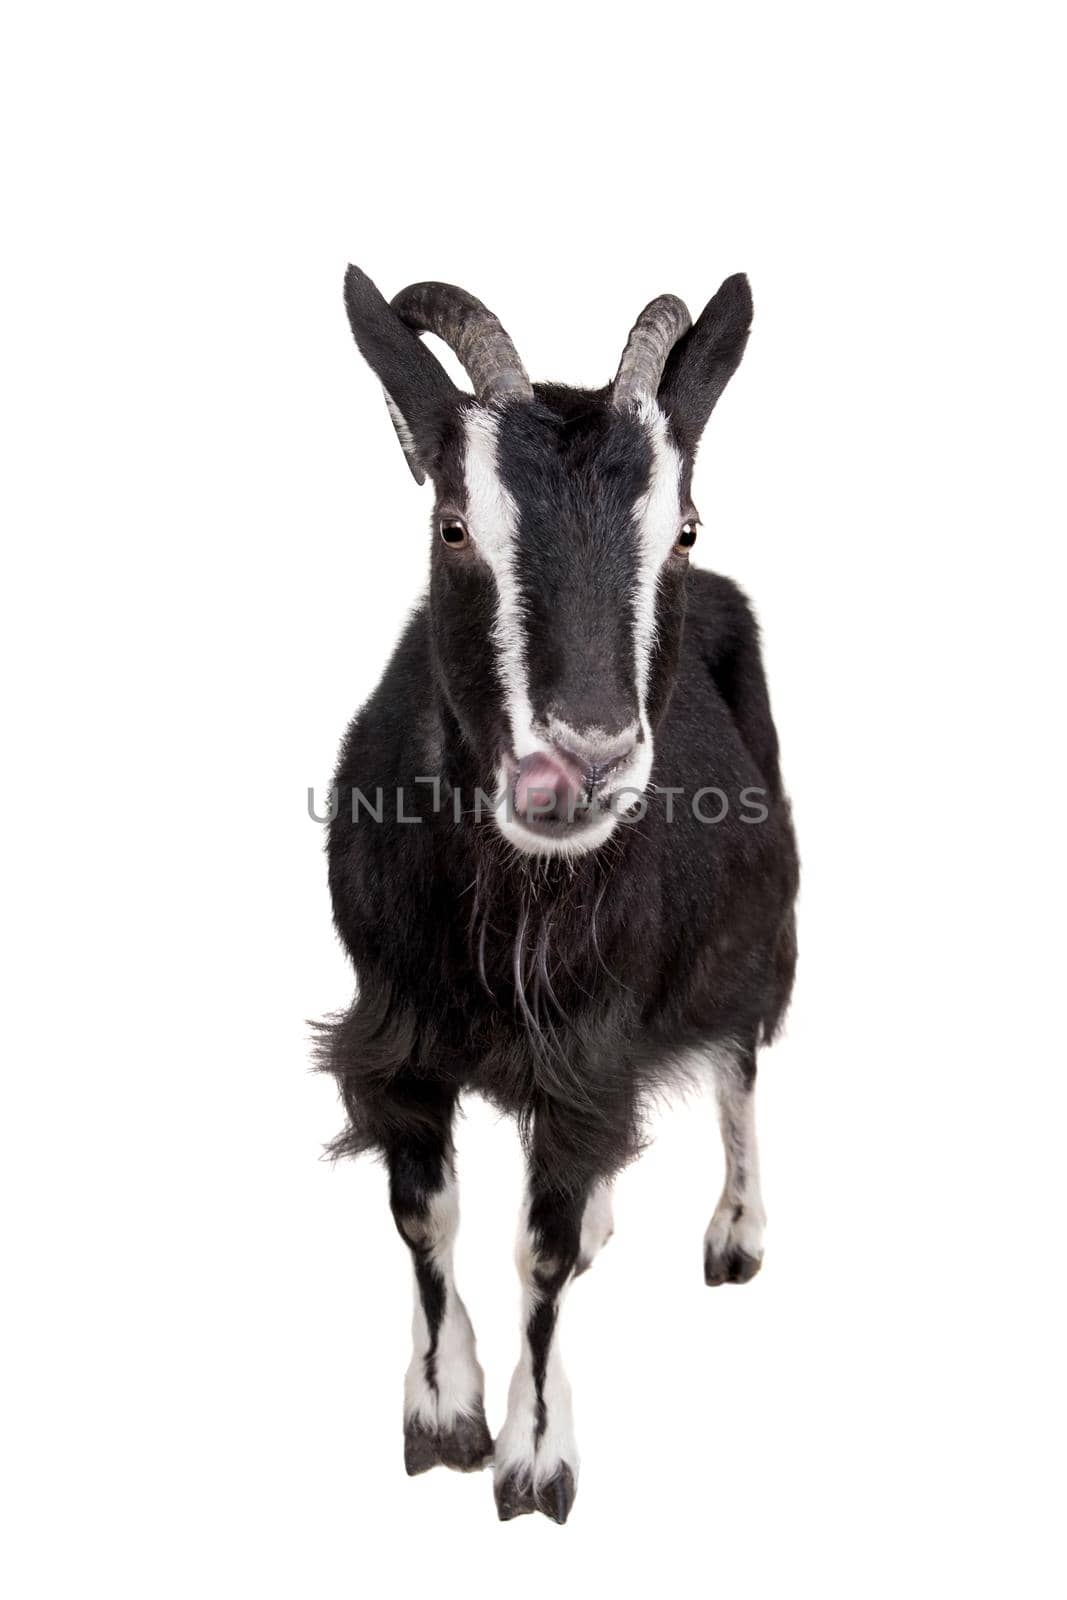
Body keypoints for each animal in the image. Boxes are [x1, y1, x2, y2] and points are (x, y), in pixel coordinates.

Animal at [321, 268, 796, 1529]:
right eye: (452, 527)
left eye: (680, 528)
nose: (578, 760)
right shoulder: (392, 1026)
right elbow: (422, 1213)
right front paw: (440, 1411)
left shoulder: (589, 1036)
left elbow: (536, 1247)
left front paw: (533, 1457)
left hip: (758, 934)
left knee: (739, 1064)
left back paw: (736, 1233)